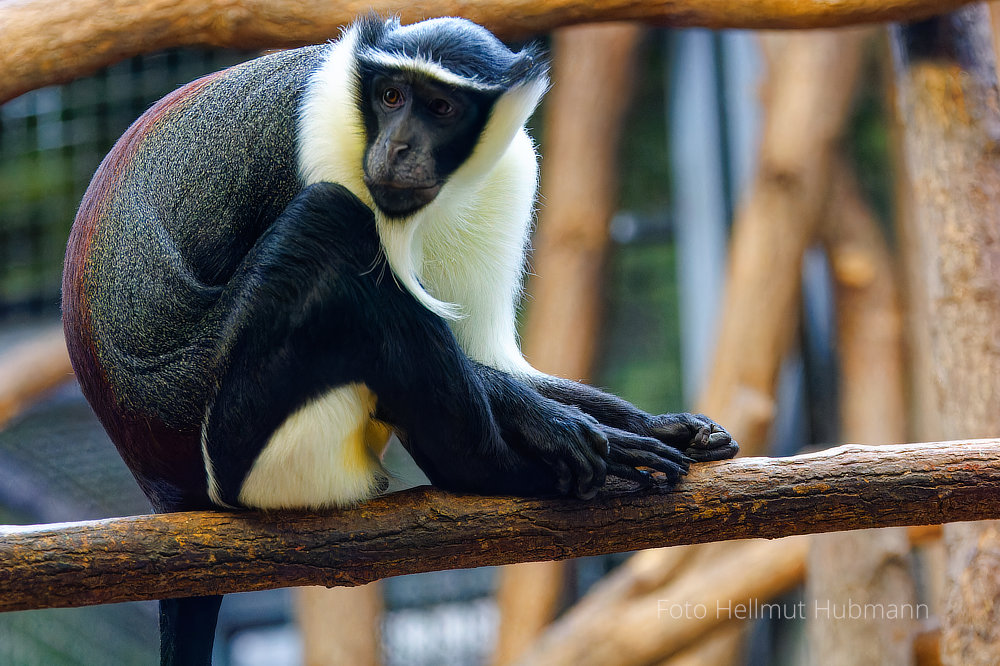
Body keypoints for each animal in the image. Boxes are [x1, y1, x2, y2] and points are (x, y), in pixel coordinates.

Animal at [60, 13, 736, 660]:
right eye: (390, 96)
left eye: (440, 107)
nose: (397, 145)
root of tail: (168, 491)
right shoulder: (325, 142)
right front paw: (560, 426)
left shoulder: (510, 170)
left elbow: (487, 356)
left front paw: (655, 424)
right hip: (241, 446)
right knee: (328, 226)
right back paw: (497, 469)